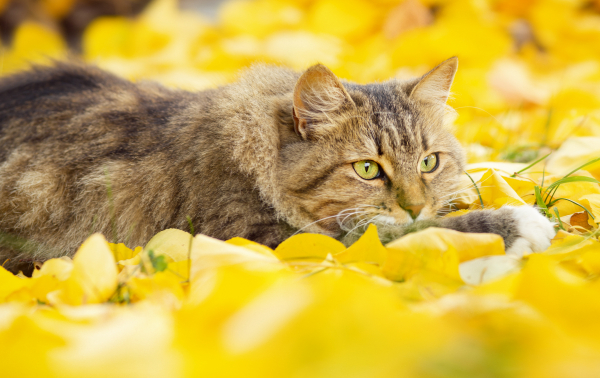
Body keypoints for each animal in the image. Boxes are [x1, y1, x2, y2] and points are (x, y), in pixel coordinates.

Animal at [0, 56, 556, 274]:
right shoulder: (274, 240)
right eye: (367, 170)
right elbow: (401, 234)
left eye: (429, 161)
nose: (416, 204)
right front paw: (518, 221)